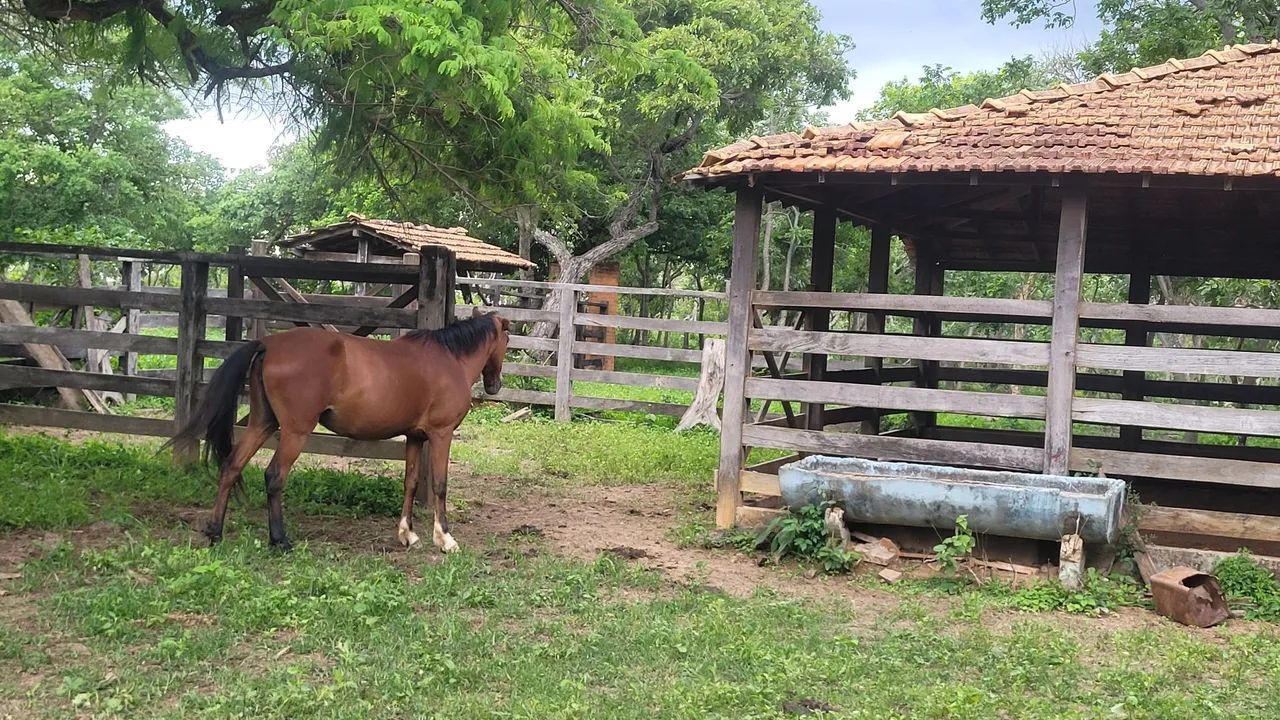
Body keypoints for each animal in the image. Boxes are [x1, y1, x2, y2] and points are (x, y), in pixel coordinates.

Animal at [170, 308, 510, 553]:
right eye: (507, 341)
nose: (495, 385)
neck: (448, 358)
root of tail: (268, 343)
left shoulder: (415, 437)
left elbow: (410, 483)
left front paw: (408, 535)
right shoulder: (441, 434)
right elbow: (439, 484)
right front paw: (446, 539)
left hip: (261, 424)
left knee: (231, 467)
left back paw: (215, 532)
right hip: (294, 432)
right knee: (274, 476)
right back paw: (280, 540)